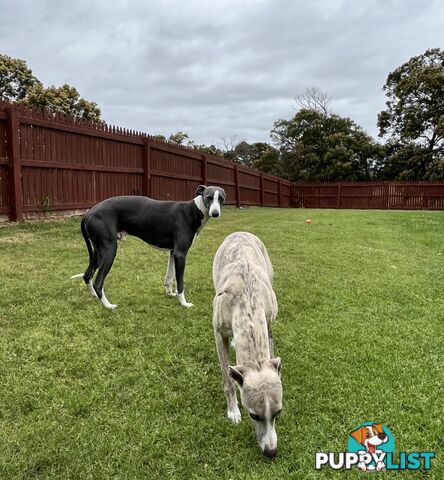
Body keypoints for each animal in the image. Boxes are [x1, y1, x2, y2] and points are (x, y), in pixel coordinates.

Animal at [73, 186, 227, 310]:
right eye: (208, 197)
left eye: (221, 198)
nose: (215, 213)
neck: (193, 210)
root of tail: (89, 212)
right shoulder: (181, 254)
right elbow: (180, 282)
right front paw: (184, 303)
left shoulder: (173, 252)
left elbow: (169, 277)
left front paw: (170, 293)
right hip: (109, 251)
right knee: (98, 282)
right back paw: (108, 305)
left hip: (98, 252)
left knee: (87, 275)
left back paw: (95, 297)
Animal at [212, 234, 280, 460]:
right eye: (253, 415)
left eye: (278, 412)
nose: (271, 452)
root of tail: (241, 232)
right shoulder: (218, 334)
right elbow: (228, 380)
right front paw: (233, 412)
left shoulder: (267, 323)